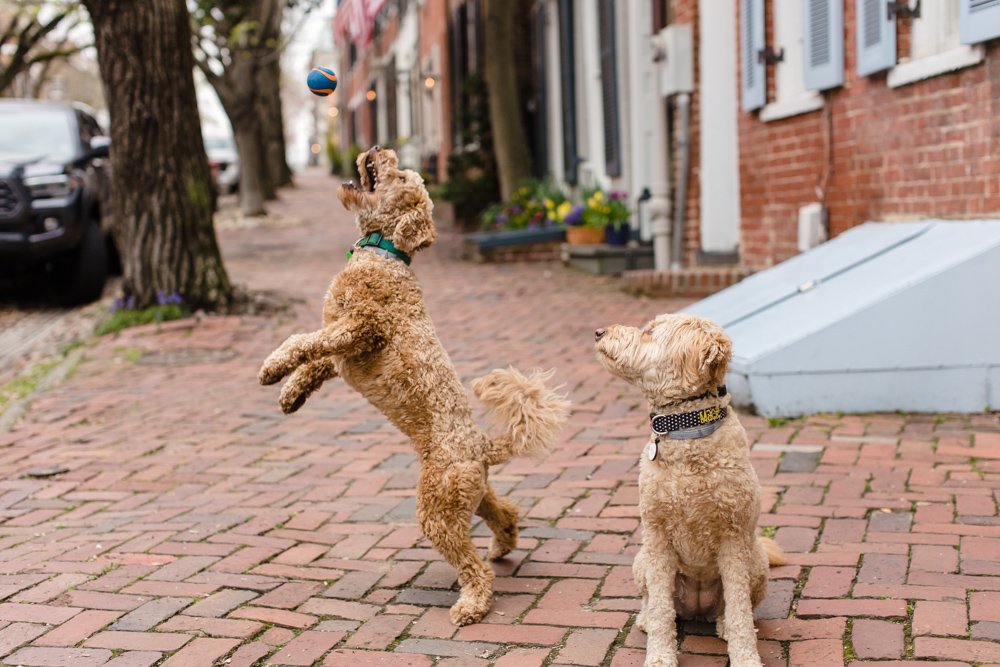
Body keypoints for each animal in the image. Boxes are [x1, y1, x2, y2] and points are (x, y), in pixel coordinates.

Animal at [258, 147, 572, 628]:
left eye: (401, 176)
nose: (380, 150)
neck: (382, 253)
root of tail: (482, 445)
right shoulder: (342, 350)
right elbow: (314, 363)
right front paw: (290, 395)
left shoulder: (361, 328)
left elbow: (301, 341)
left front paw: (272, 367)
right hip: (466, 495)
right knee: (505, 512)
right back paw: (503, 546)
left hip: (437, 509)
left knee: (472, 566)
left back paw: (472, 605)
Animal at [592, 314, 780, 667]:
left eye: (650, 332)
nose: (598, 331)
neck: (686, 430)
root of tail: (697, 607)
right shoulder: (657, 537)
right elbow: (662, 609)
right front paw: (660, 657)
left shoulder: (734, 539)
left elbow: (739, 609)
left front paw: (746, 657)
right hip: (641, 562)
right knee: (652, 600)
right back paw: (646, 619)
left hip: (757, 564)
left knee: (737, 607)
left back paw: (723, 625)